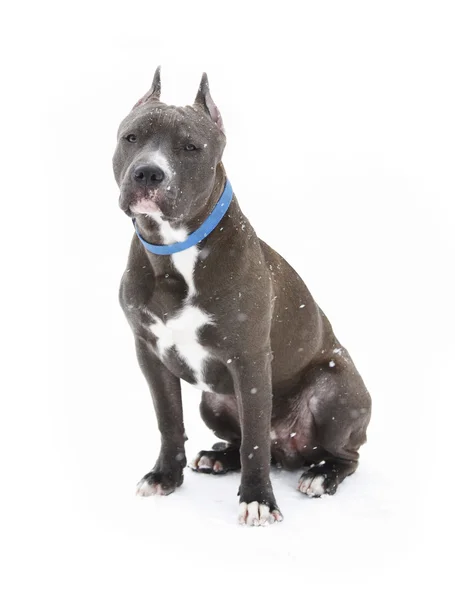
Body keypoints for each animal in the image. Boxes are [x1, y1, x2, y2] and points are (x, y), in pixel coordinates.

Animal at [112, 67, 372, 524]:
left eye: (190, 147)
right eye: (131, 137)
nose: (148, 173)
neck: (175, 251)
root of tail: (291, 452)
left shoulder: (249, 360)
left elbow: (254, 439)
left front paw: (258, 499)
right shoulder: (150, 355)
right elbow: (169, 421)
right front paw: (165, 477)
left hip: (336, 391)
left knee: (341, 454)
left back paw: (321, 475)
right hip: (213, 403)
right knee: (245, 441)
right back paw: (218, 458)